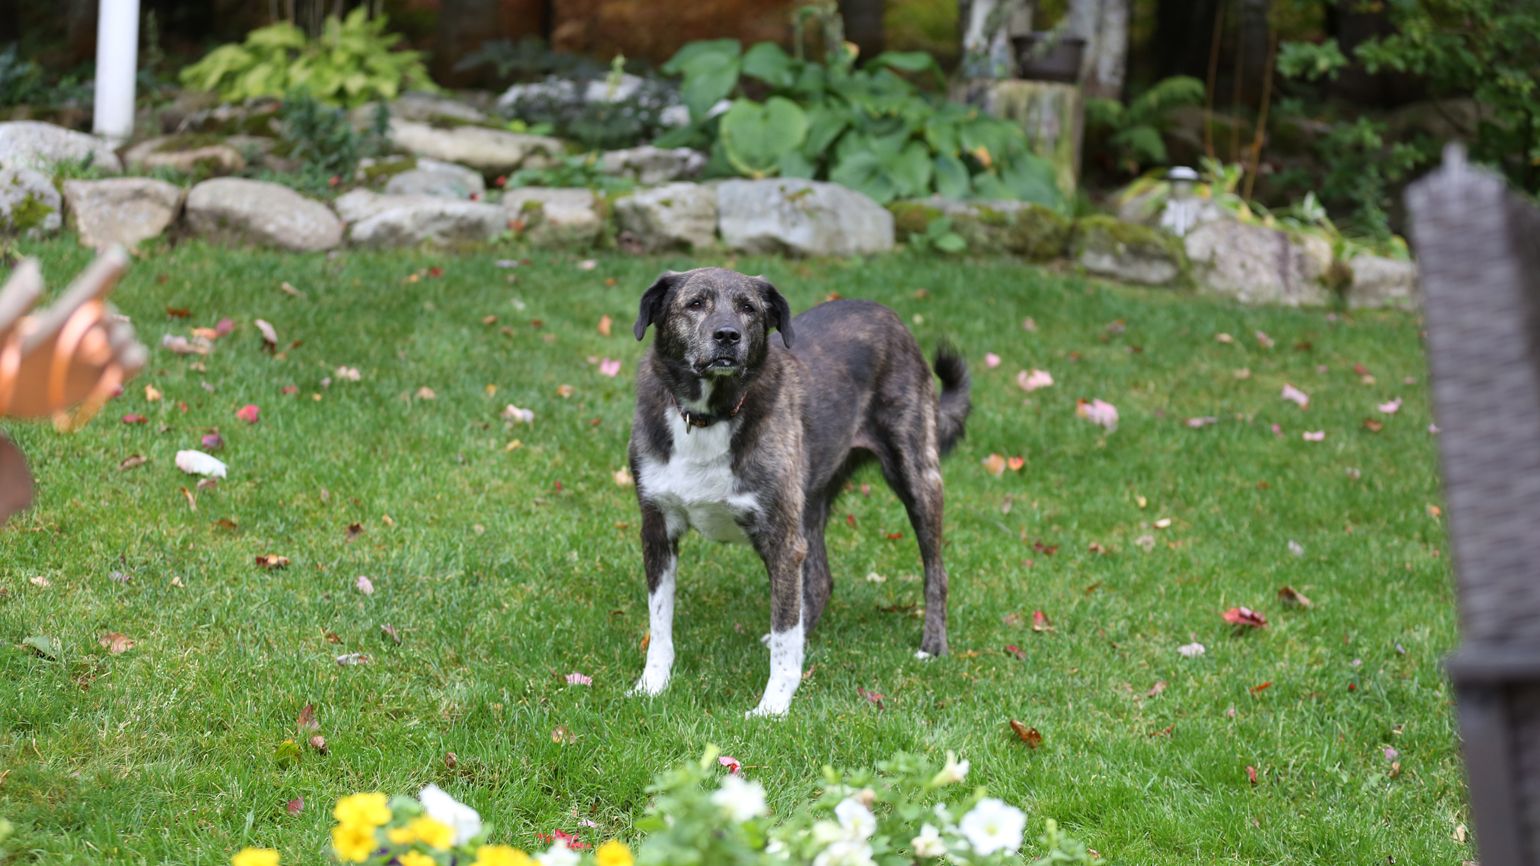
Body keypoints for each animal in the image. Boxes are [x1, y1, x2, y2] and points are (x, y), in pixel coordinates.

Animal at [628, 266, 967, 711]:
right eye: (695, 303)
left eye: (749, 308)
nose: (727, 335)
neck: (710, 416)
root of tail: (890, 315)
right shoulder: (657, 530)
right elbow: (660, 623)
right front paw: (651, 685)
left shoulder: (782, 540)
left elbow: (786, 636)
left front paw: (773, 707)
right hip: (807, 505)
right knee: (820, 580)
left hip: (916, 477)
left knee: (936, 572)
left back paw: (932, 646)